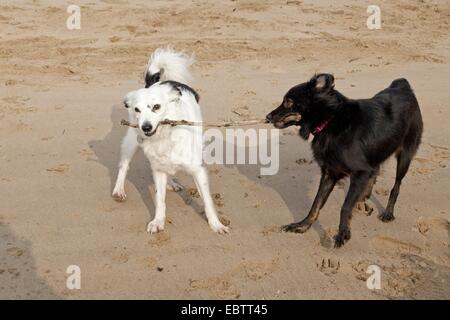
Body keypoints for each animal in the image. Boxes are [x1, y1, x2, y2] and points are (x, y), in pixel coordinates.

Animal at [112, 49, 229, 235]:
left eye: (156, 107)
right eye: (137, 109)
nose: (145, 127)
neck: (165, 136)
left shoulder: (198, 170)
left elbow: (207, 201)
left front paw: (216, 224)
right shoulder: (158, 170)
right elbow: (159, 200)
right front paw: (158, 221)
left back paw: (172, 183)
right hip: (132, 140)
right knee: (124, 165)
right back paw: (119, 189)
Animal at [268, 74, 424, 248]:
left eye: (288, 101)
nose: (267, 117)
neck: (330, 120)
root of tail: (403, 86)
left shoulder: (360, 172)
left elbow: (345, 206)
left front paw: (343, 233)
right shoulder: (330, 173)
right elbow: (316, 204)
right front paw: (302, 226)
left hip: (405, 155)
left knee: (396, 185)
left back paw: (388, 213)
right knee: (376, 171)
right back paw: (364, 197)